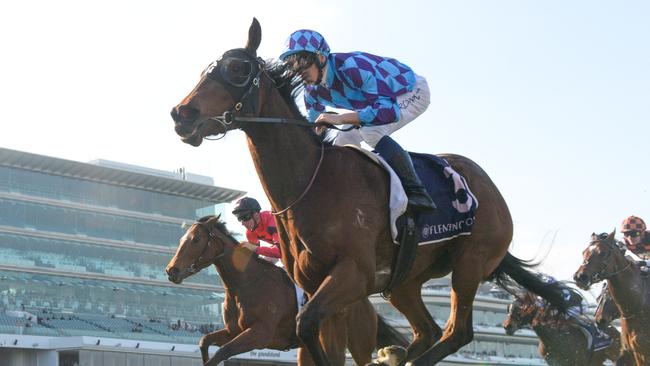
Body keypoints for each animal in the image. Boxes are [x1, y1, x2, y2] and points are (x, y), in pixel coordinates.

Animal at [163, 216, 404, 364]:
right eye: (182, 239)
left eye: (195, 239)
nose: (171, 271)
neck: (245, 285)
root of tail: (365, 302)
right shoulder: (233, 331)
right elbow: (205, 342)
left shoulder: (260, 334)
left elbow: (223, 352)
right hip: (308, 347)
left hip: (359, 344)